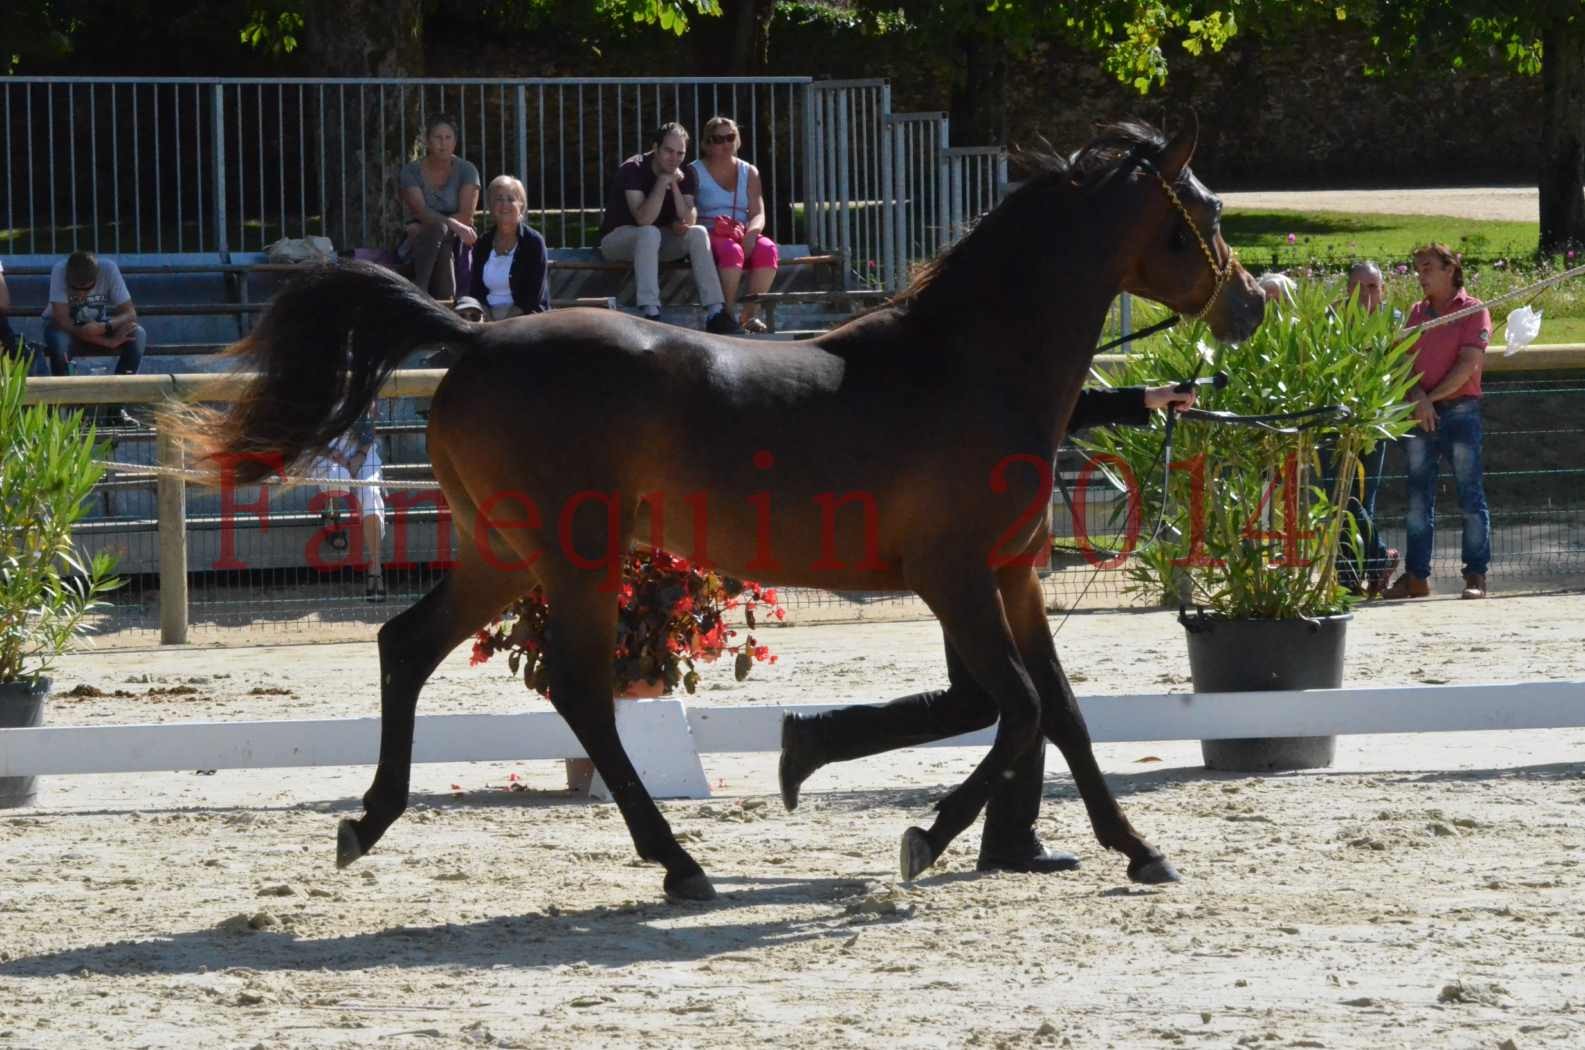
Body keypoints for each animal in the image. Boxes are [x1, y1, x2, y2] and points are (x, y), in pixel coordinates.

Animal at [179, 114, 1261, 907]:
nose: (1249, 304)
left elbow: (1060, 714)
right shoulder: (953, 579)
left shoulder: (1011, 577)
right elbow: (1021, 708)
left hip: (502, 553)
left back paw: (366, 823)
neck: (970, 367)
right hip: (575, 557)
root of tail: (475, 336)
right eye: (1203, 212)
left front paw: (1136, 847)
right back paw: (678, 863)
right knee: (579, 692)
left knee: (406, 647)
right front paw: (920, 836)